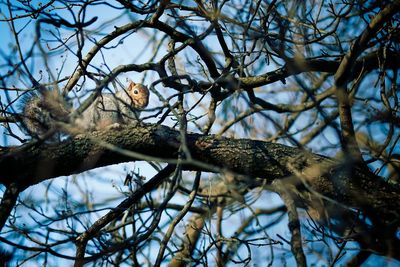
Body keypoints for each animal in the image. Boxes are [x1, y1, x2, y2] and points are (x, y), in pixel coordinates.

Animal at [20, 81, 148, 138]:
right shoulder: (124, 105)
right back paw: (112, 126)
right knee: (97, 128)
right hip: (105, 109)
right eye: (135, 92)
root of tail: (81, 121)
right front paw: (135, 122)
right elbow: (127, 117)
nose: (144, 103)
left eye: (149, 93)